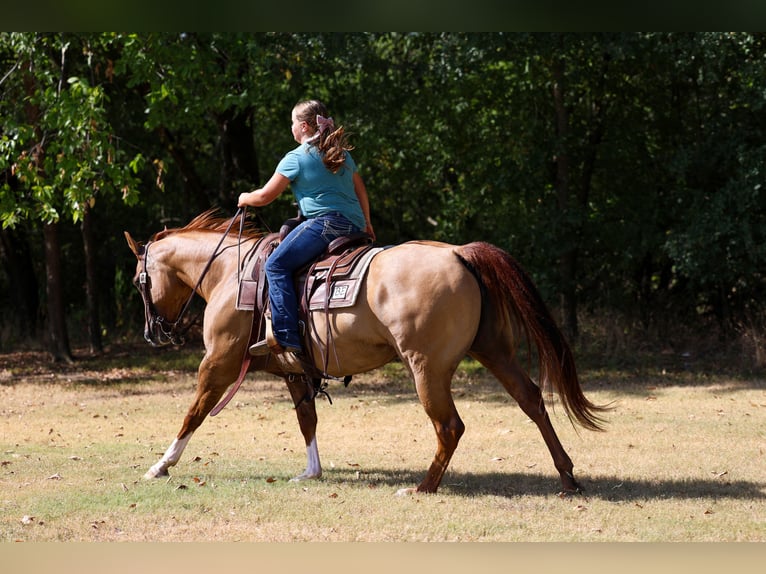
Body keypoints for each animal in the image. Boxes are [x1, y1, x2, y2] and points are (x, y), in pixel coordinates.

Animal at [124, 209, 608, 495]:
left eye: (138, 281)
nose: (153, 333)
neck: (231, 271)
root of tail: (459, 253)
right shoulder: (295, 371)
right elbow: (307, 419)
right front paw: (311, 471)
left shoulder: (218, 363)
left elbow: (194, 413)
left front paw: (161, 464)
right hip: (495, 351)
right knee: (532, 401)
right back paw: (567, 476)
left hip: (426, 368)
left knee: (450, 426)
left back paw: (424, 487)